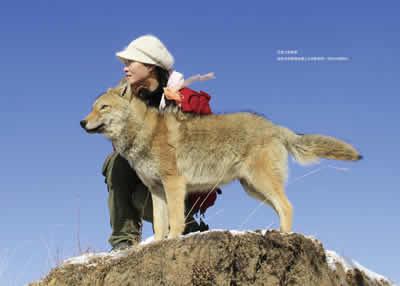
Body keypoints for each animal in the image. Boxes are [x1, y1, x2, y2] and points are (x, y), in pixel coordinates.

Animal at [79, 86, 360, 240]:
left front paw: (172, 240)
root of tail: (275, 126)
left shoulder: (174, 185)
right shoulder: (156, 191)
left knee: (287, 206)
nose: (81, 122)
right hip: (254, 189)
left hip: (261, 184)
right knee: (282, 207)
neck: (142, 133)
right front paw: (158, 243)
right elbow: (159, 225)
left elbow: (175, 221)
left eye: (103, 108)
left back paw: (286, 236)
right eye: (92, 107)